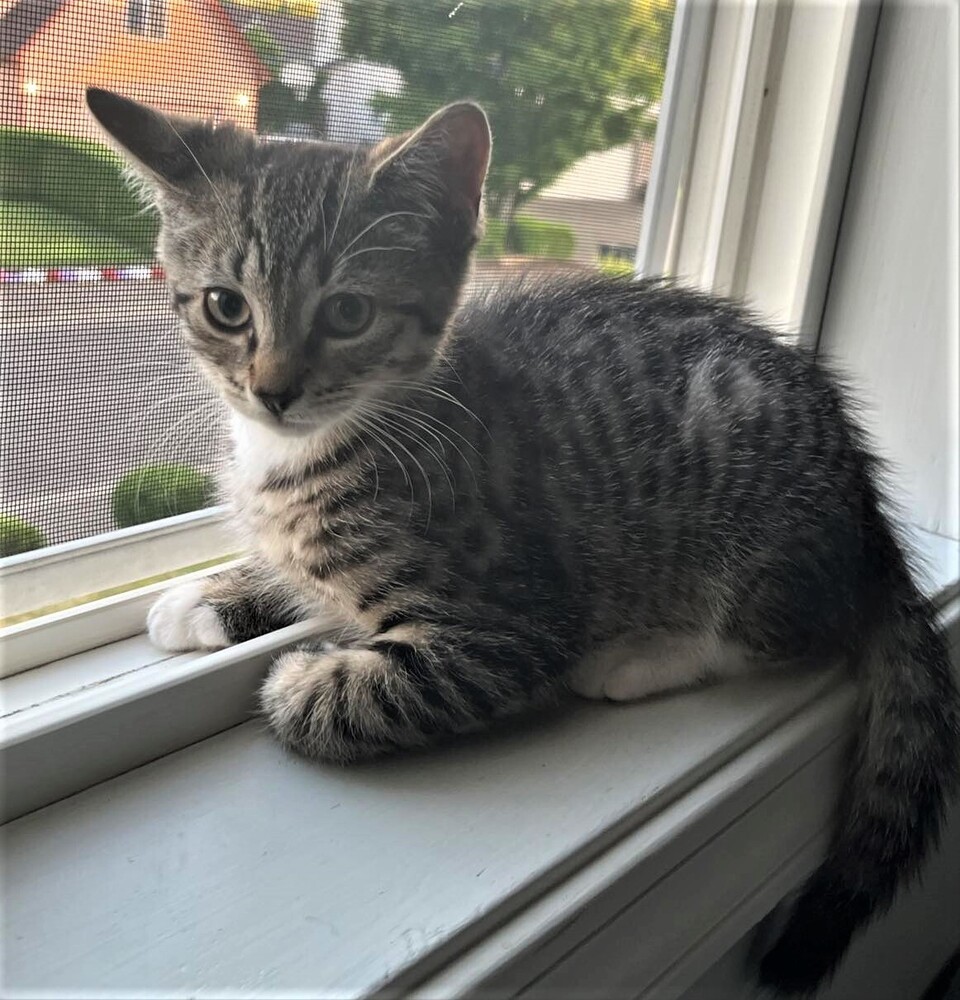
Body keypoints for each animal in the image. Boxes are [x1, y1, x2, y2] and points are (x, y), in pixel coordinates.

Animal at [86, 90, 956, 996]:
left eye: (349, 313)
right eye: (226, 306)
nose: (273, 392)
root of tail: (868, 516)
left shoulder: (512, 621)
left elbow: (347, 693)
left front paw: (299, 680)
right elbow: (288, 568)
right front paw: (210, 596)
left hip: (757, 518)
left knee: (787, 635)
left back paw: (642, 658)